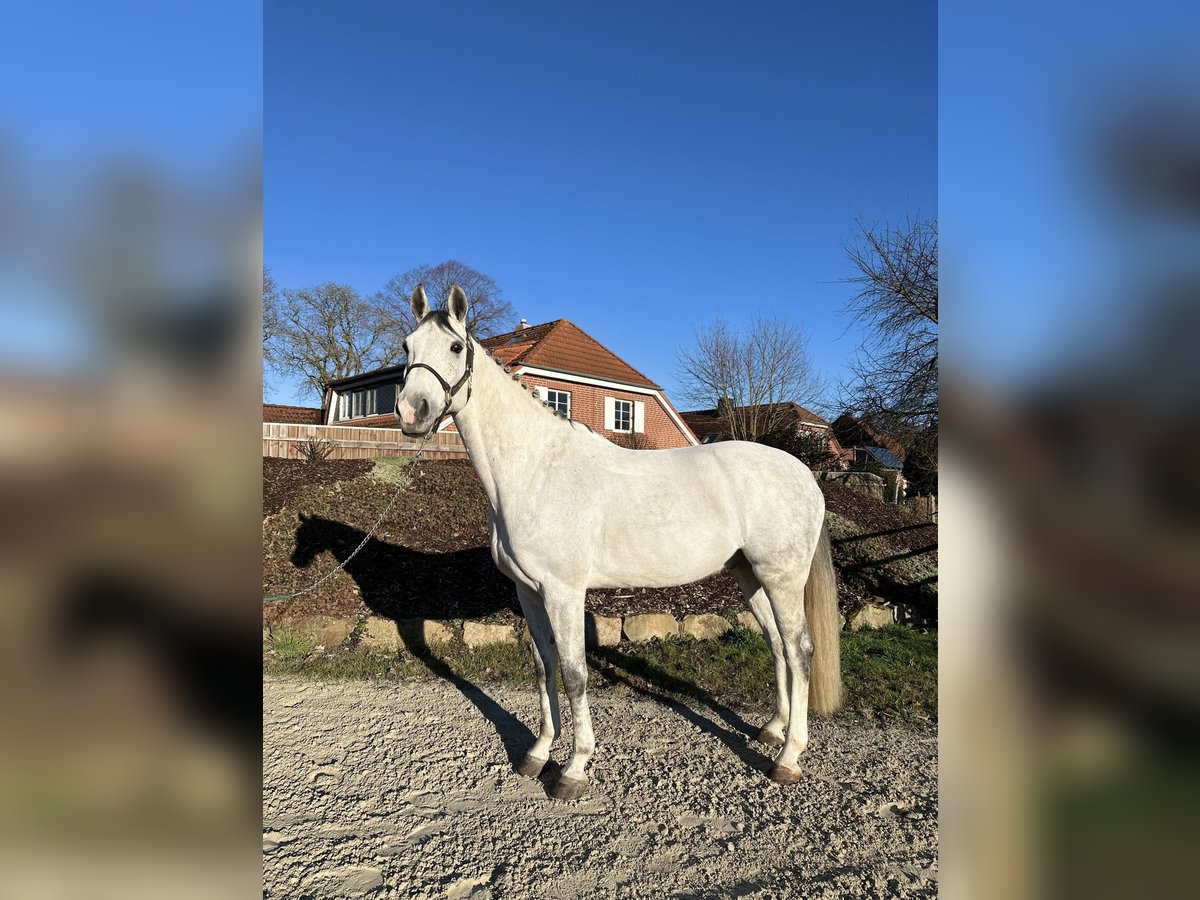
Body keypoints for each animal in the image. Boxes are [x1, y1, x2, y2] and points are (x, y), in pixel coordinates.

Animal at [395, 283, 841, 800]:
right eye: (406, 347)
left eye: (454, 347)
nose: (411, 411)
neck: (536, 469)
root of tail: (804, 474)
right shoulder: (527, 593)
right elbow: (544, 666)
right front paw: (537, 754)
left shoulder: (563, 592)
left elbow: (574, 674)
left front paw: (573, 769)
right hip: (750, 576)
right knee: (776, 644)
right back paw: (772, 729)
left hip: (782, 577)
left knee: (800, 649)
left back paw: (788, 758)